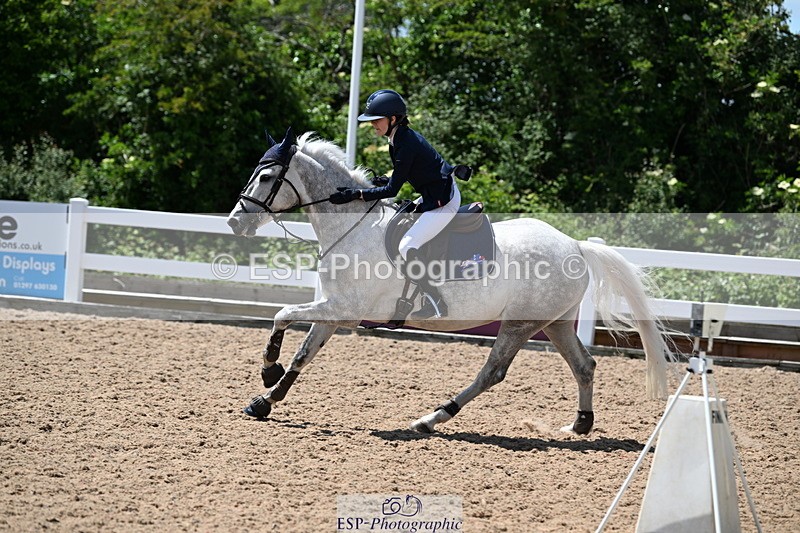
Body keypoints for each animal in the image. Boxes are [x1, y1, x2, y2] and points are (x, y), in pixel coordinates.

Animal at [226, 128, 675, 435]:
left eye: (266, 177)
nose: (234, 222)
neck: (352, 227)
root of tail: (576, 246)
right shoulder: (334, 311)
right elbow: (303, 354)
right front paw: (265, 400)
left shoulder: (343, 310)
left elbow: (282, 314)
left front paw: (268, 370)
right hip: (555, 321)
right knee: (584, 365)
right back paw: (580, 424)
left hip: (520, 323)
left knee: (492, 373)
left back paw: (431, 419)